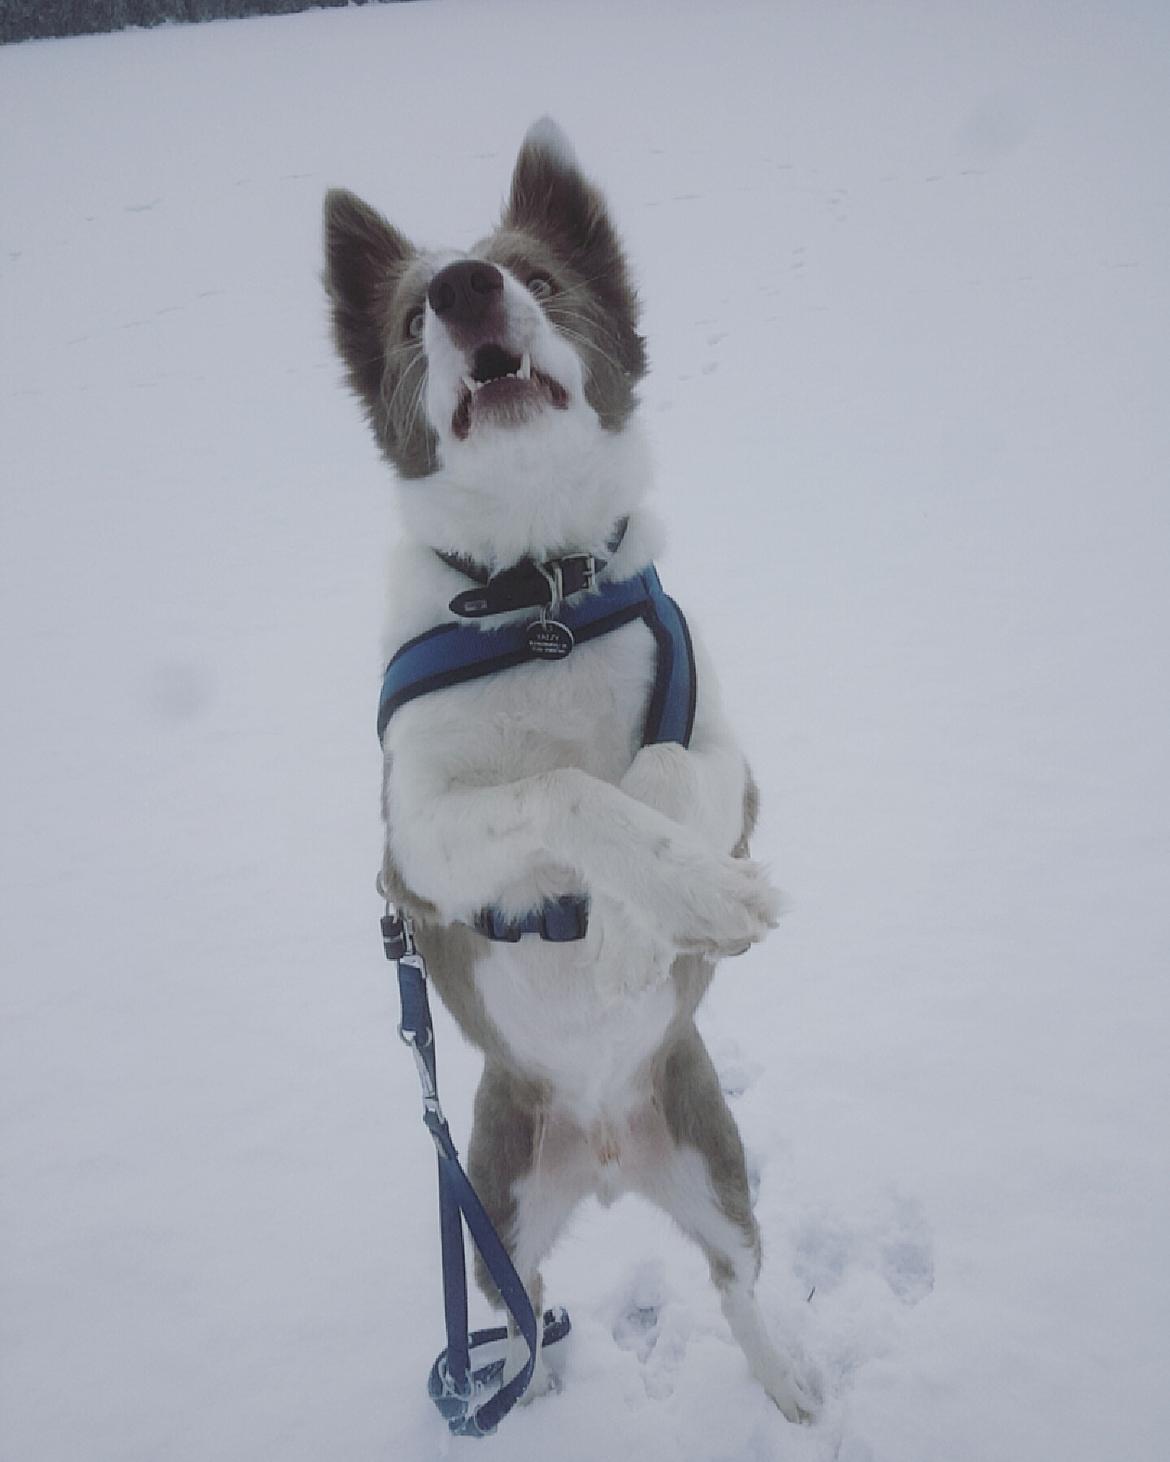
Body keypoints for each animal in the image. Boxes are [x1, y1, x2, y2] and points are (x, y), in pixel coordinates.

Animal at [320, 119, 813, 1421]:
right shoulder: (418, 845)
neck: (534, 588)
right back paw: (518, 1388)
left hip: (711, 1152)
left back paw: (790, 1380)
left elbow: (662, 774)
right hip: (488, 1197)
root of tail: (602, 1152)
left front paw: (660, 920)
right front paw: (675, 897)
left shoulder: (731, 767)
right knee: (521, 1304)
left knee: (738, 1281)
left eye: (536, 275)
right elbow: (563, 789)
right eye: (411, 318)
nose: (463, 288)